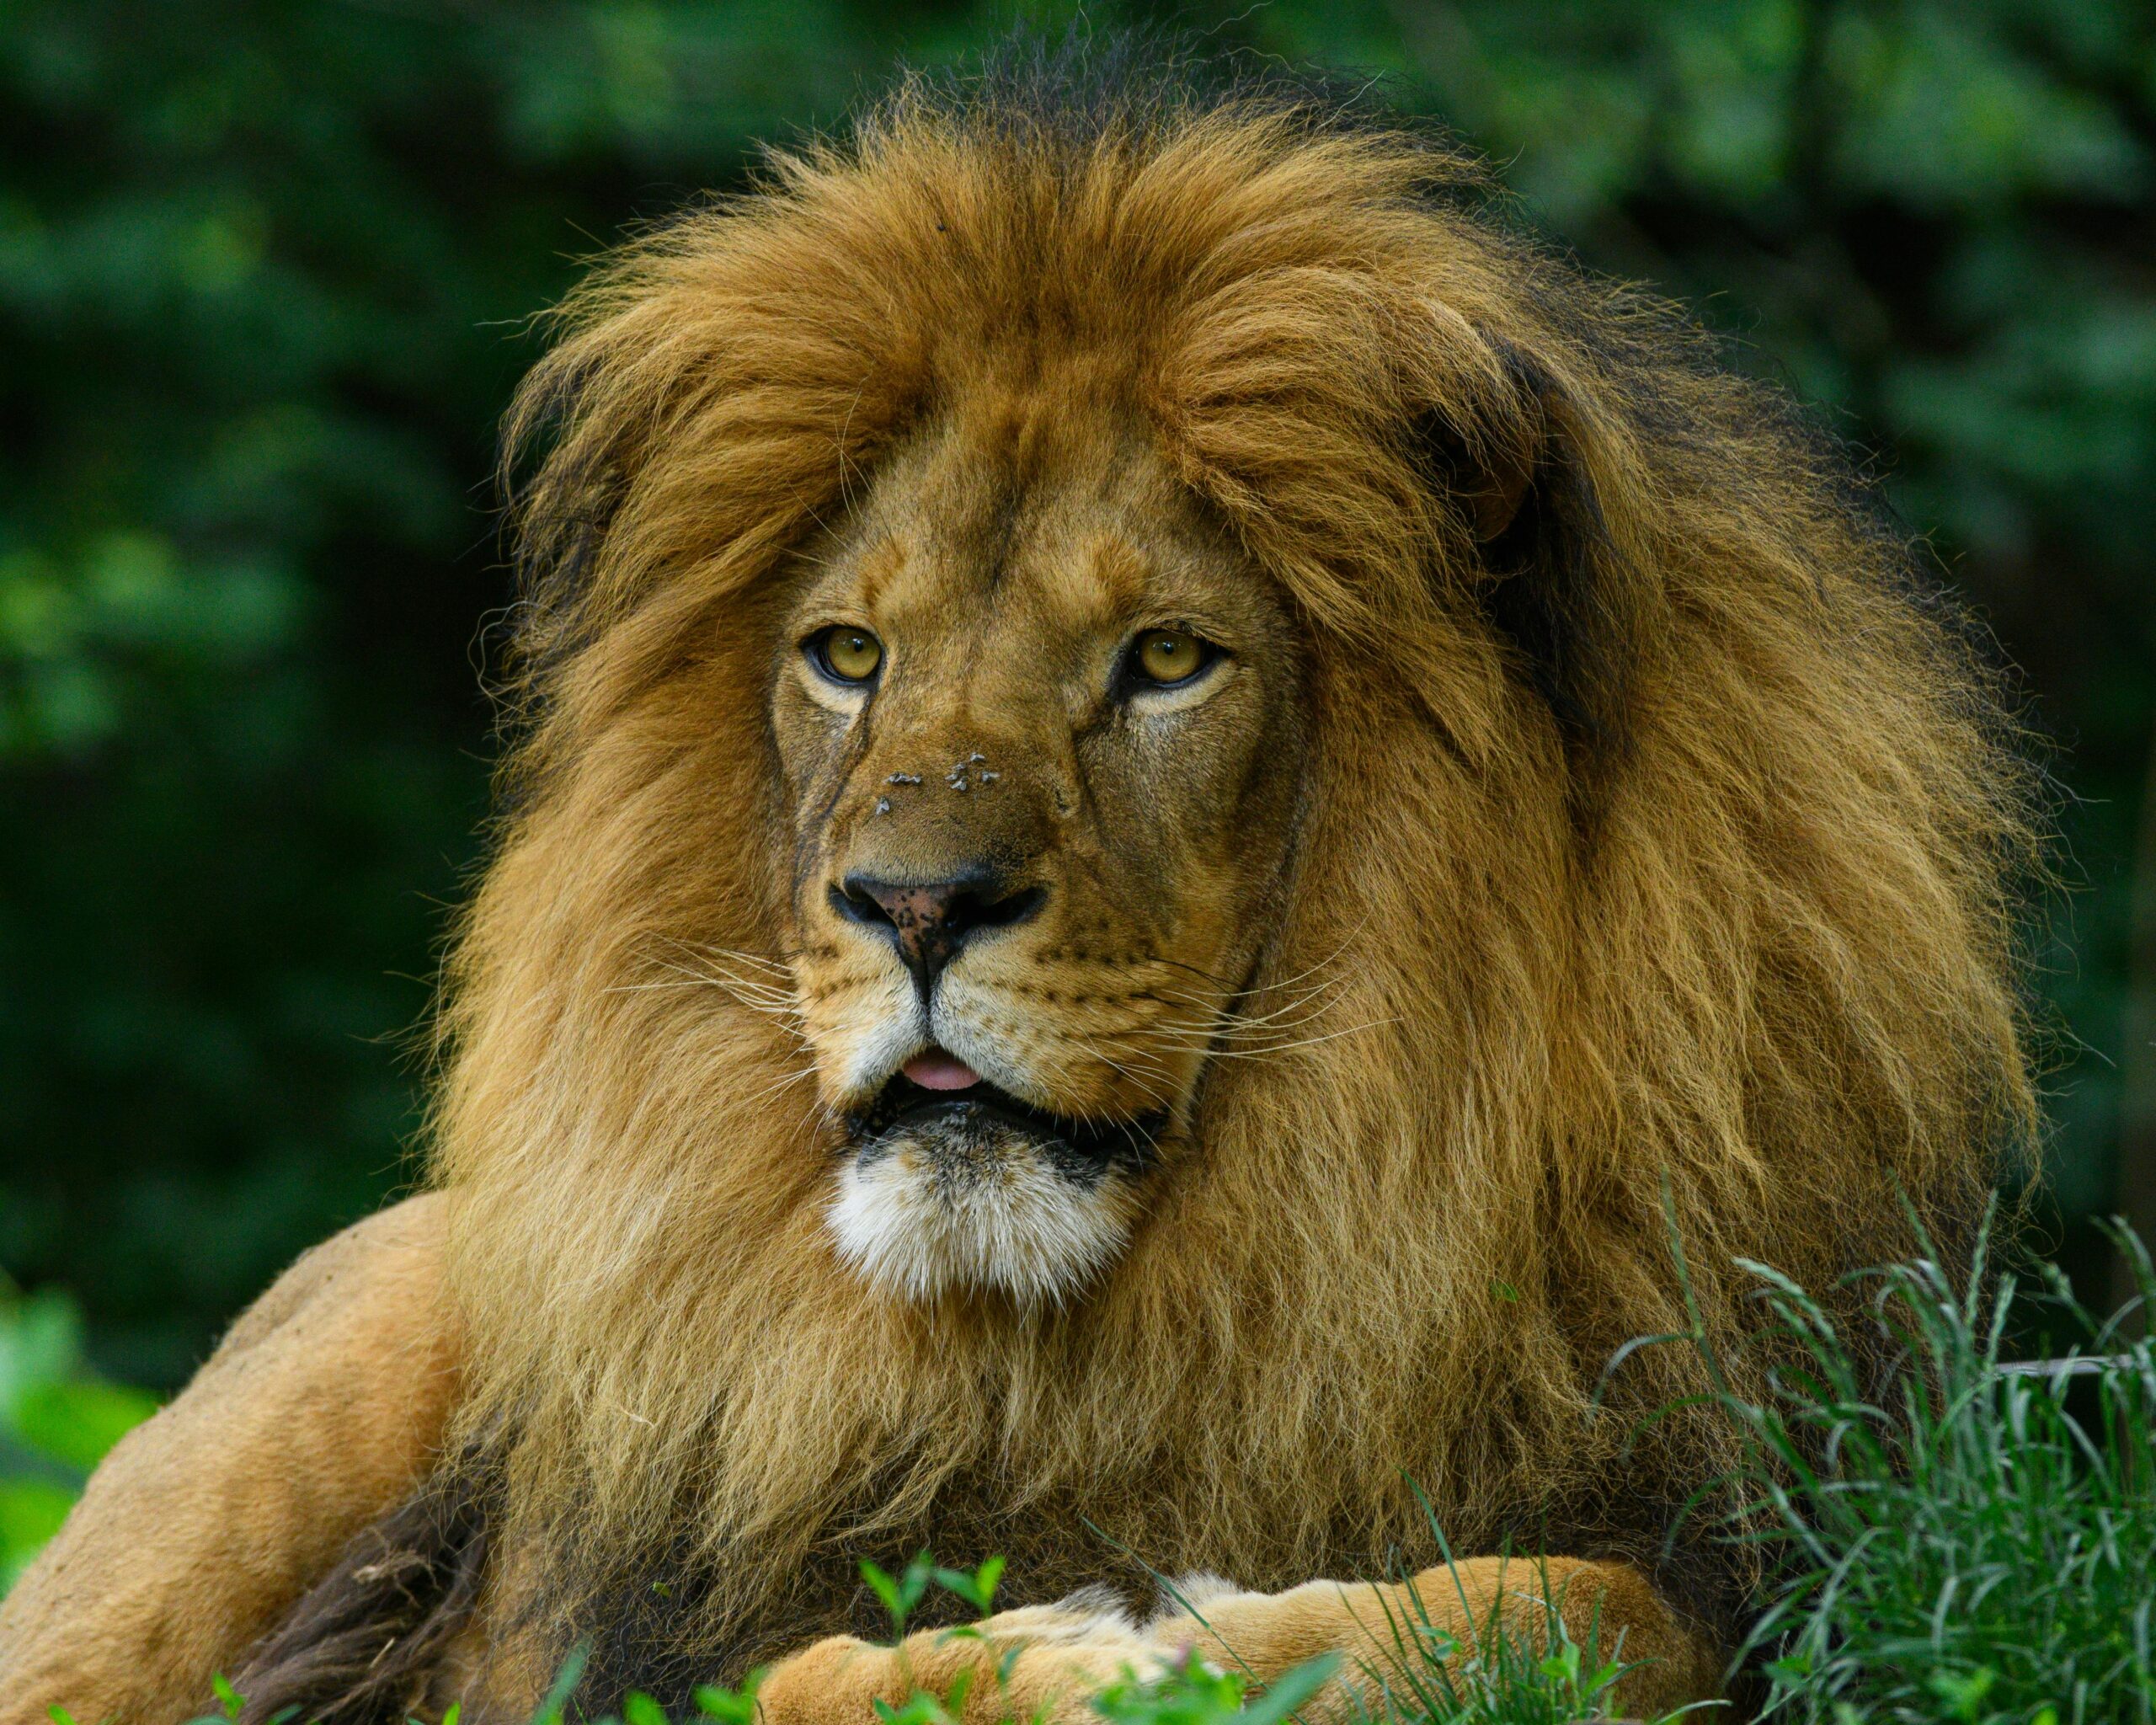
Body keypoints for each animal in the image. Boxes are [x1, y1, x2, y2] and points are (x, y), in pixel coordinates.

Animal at [0, 50, 2038, 1725]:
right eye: (846, 656)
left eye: (1165, 660)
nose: (911, 904)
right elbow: (812, 1674)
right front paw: (1065, 1652)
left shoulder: (1761, 1549)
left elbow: (1583, 1607)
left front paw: (1184, 1643)